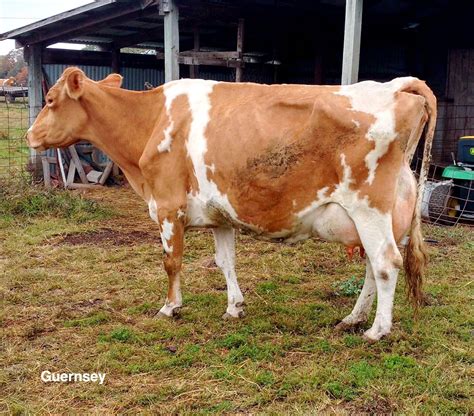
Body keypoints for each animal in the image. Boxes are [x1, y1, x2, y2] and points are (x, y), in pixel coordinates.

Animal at [25, 67, 436, 342]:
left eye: (50, 101)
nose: (29, 135)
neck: (150, 120)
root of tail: (394, 85)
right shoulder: (220, 216)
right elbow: (225, 262)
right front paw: (234, 307)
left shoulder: (168, 206)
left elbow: (171, 262)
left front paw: (170, 307)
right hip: (384, 216)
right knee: (373, 266)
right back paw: (353, 319)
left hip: (369, 207)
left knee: (385, 264)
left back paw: (377, 330)